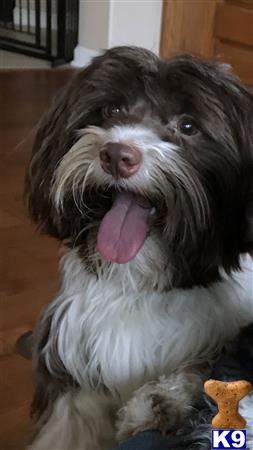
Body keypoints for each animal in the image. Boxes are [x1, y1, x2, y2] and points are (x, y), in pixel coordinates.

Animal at [25, 47, 253, 448]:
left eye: (188, 126)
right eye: (111, 110)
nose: (116, 155)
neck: (138, 284)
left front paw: (159, 402)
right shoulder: (74, 367)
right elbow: (70, 427)